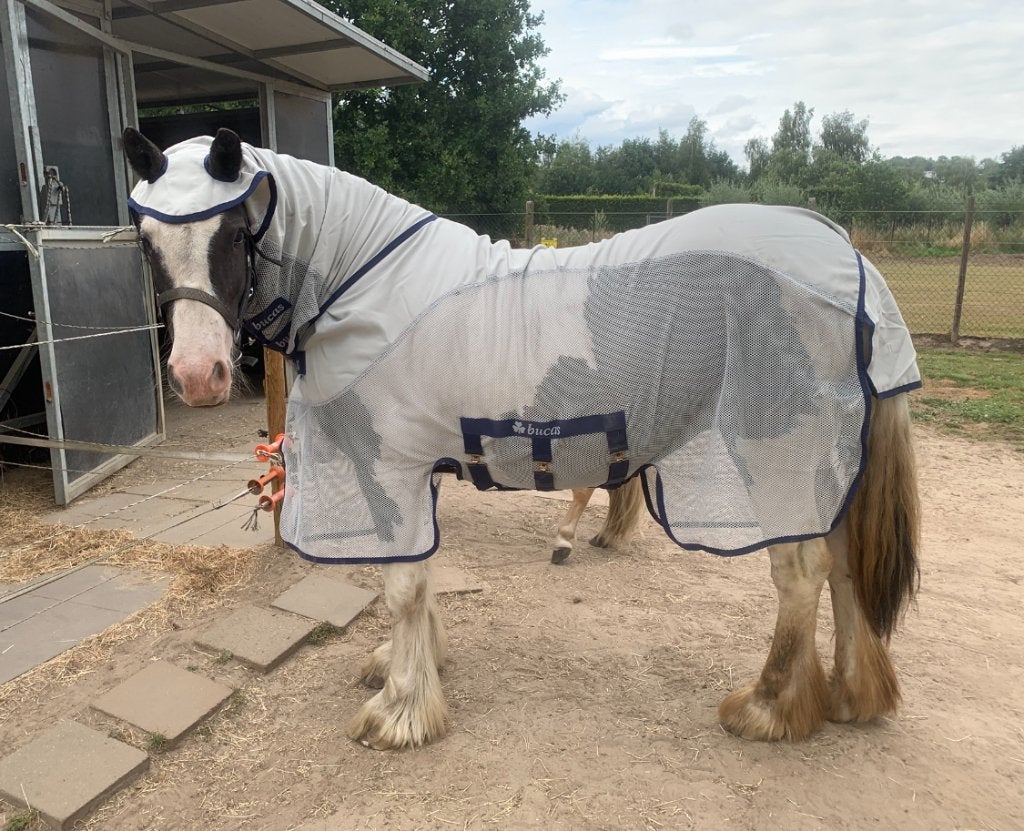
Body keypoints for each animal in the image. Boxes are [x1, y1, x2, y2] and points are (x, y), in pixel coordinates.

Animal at [122, 127, 921, 751]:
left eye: (231, 233)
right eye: (147, 240)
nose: (197, 373)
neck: (369, 284)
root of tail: (846, 259)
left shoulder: (394, 461)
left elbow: (402, 584)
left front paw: (401, 710)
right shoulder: (420, 464)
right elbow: (423, 571)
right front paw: (414, 668)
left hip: (775, 448)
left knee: (804, 571)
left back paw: (768, 706)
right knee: (845, 567)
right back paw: (850, 696)